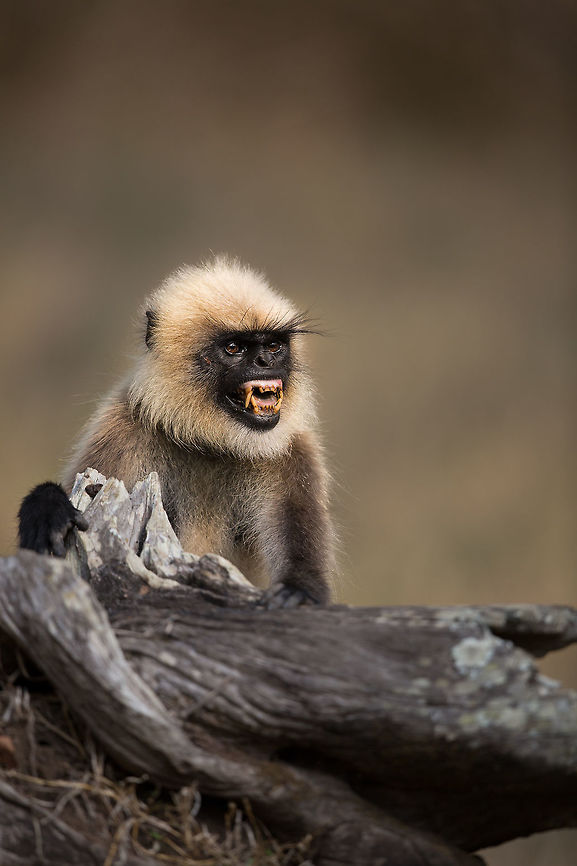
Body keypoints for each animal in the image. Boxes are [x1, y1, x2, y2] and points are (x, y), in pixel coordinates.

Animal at [18, 257, 335, 608]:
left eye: (274, 345)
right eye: (234, 348)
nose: (266, 361)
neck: (211, 444)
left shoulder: (294, 451)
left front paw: (299, 590)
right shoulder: (121, 430)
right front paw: (48, 507)